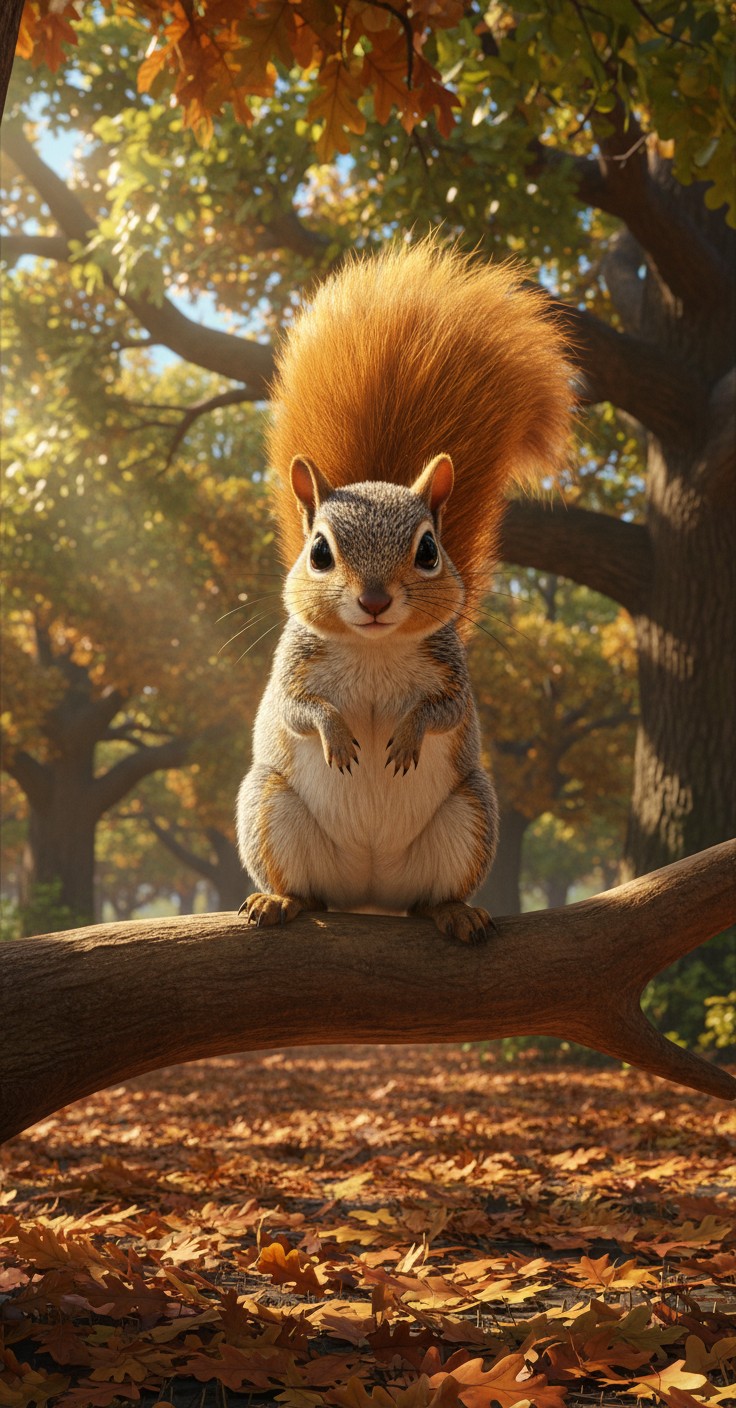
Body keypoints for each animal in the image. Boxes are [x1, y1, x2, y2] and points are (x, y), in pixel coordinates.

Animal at [236, 240, 572, 942]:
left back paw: (453, 911)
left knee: (428, 895)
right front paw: (337, 735)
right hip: (270, 809)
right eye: (319, 553)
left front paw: (409, 734)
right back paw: (282, 900)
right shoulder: (292, 669)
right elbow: (298, 709)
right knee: (305, 887)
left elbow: (444, 710)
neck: (374, 649)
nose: (373, 601)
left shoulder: (451, 673)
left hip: (470, 815)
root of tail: (368, 895)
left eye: (428, 551)